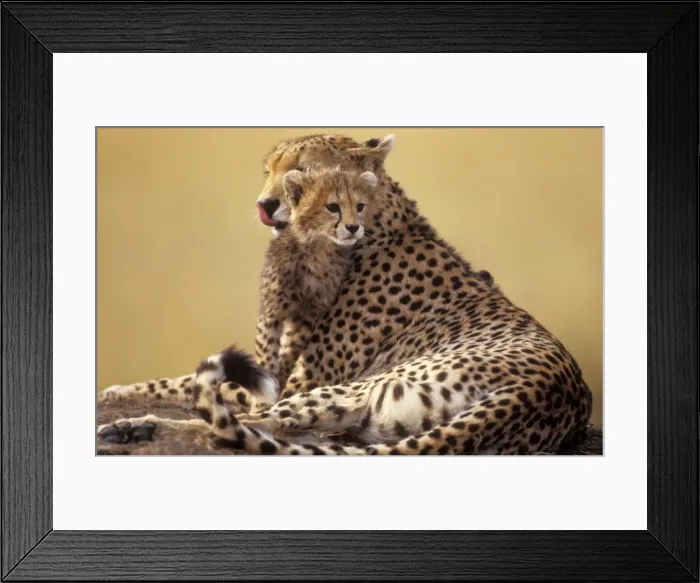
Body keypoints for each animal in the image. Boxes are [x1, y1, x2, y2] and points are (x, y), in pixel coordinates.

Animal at [99, 132, 594, 455]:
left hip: (352, 391)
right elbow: (178, 379)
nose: (265, 205)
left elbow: (187, 382)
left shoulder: (290, 381)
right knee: (270, 436)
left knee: (232, 430)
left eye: (301, 171)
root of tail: (537, 391)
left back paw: (137, 426)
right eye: (268, 171)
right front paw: (120, 391)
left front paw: (115, 395)